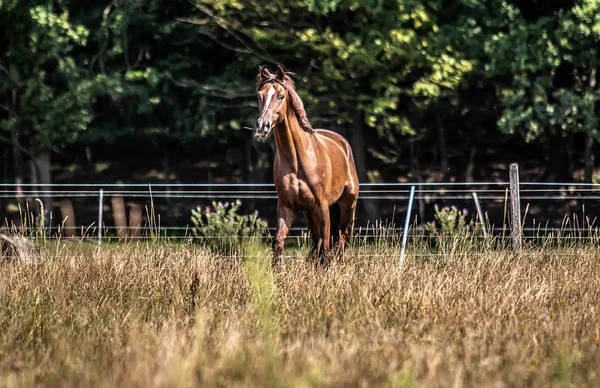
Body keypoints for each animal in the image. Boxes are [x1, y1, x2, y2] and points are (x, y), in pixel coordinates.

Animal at [254, 64, 358, 266]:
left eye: (281, 96)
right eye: (260, 95)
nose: (263, 126)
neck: (297, 160)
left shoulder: (322, 206)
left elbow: (327, 247)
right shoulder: (287, 206)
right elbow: (278, 244)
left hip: (347, 206)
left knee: (340, 241)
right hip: (310, 213)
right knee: (320, 243)